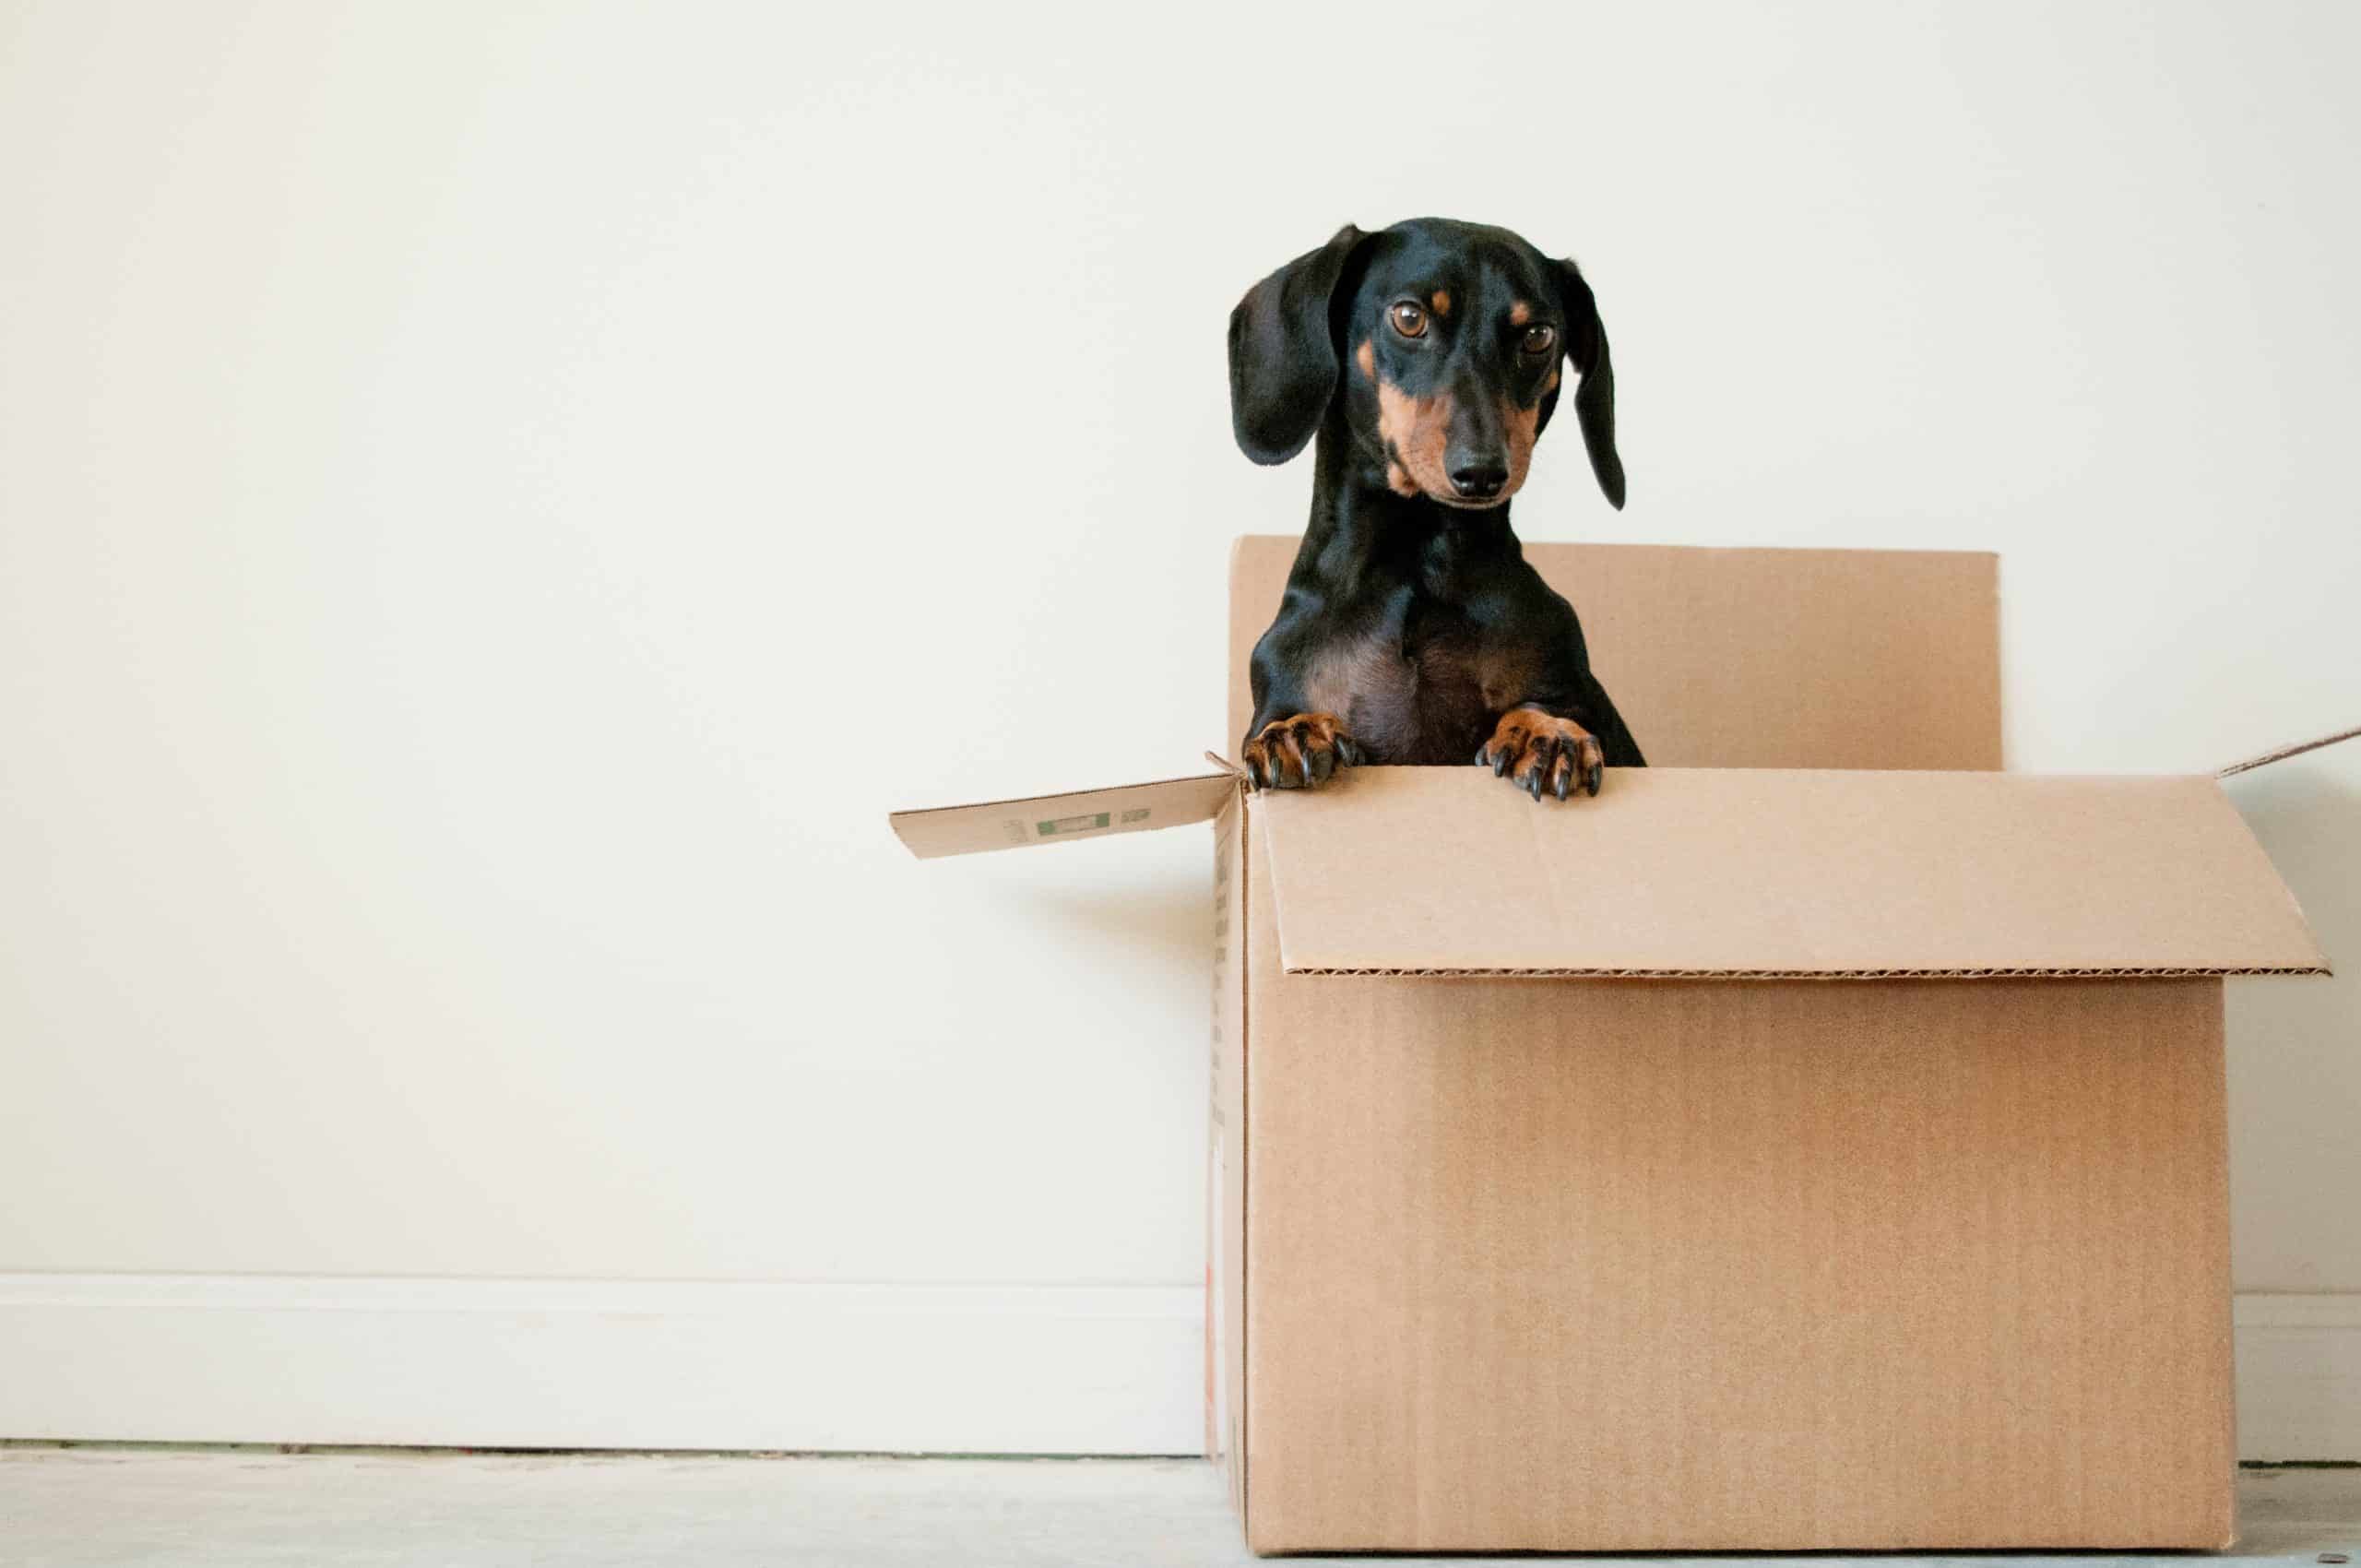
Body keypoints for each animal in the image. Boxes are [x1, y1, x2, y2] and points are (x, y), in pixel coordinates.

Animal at [1237, 218, 1643, 802]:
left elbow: (1548, 705)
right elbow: (1284, 716)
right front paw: (1293, 731)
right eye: (1409, 317)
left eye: (1539, 336)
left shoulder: (1573, 684)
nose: (1482, 472)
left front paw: (1546, 732)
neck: (1416, 562)